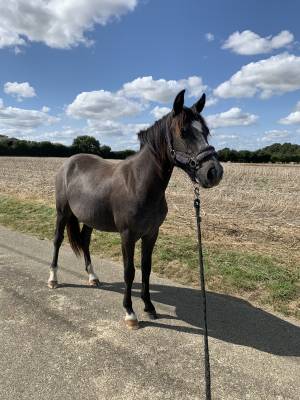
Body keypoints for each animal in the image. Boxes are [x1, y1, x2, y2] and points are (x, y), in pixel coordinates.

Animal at [48, 90, 223, 328]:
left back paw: (93, 278)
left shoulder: (151, 234)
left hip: (90, 218)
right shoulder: (128, 235)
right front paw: (130, 312)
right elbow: (129, 271)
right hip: (62, 212)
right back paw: (53, 279)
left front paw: (149, 306)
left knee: (84, 241)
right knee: (57, 240)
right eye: (184, 132)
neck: (139, 183)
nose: (214, 172)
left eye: (206, 131)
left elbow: (146, 269)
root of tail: (69, 163)